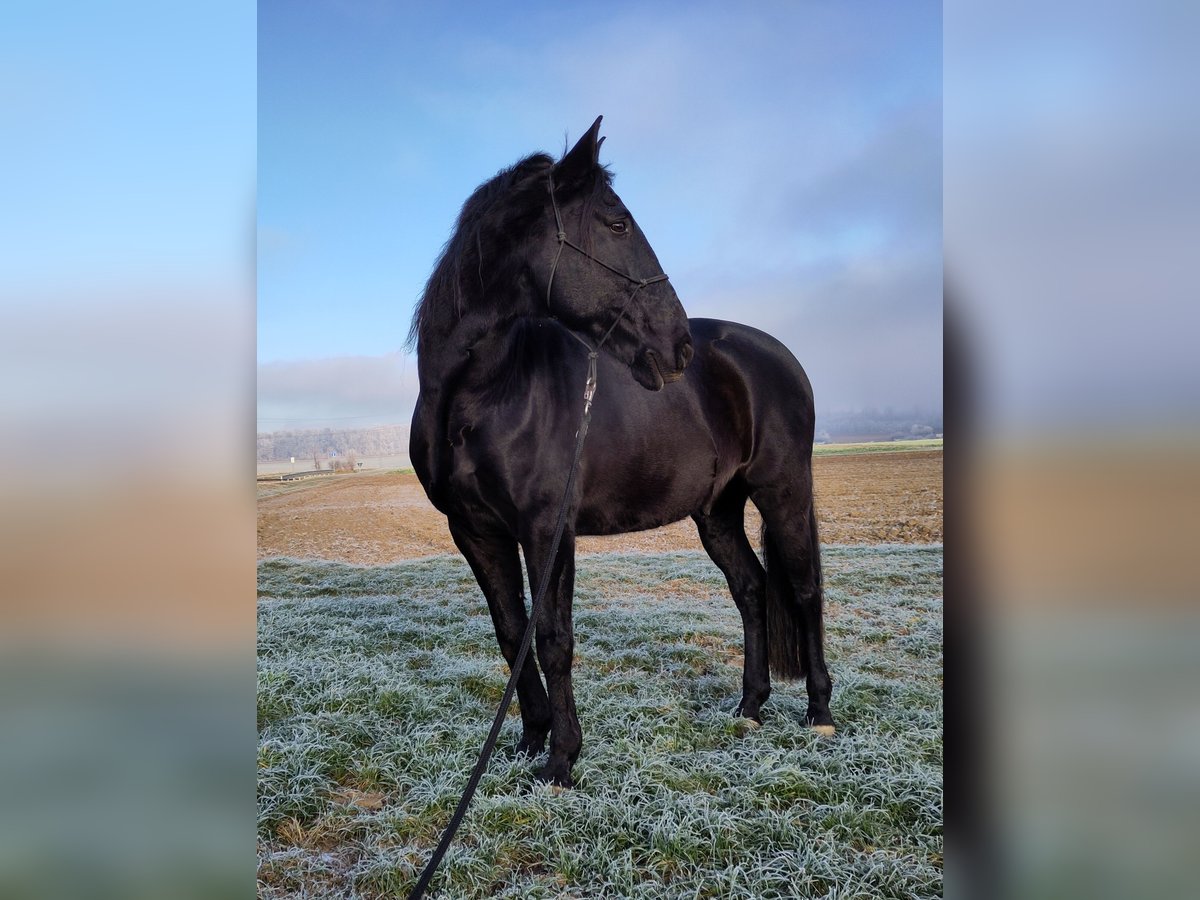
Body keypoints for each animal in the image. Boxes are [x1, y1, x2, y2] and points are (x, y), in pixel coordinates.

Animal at [408, 120, 830, 787]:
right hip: (717, 510)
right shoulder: (475, 530)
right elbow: (511, 634)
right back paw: (749, 708)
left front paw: (561, 760)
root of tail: (778, 356)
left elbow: (552, 637)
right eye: (616, 224)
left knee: (806, 588)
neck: (481, 395)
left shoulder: (547, 528)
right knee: (753, 588)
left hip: (783, 490)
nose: (678, 345)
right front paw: (529, 740)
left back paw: (819, 713)